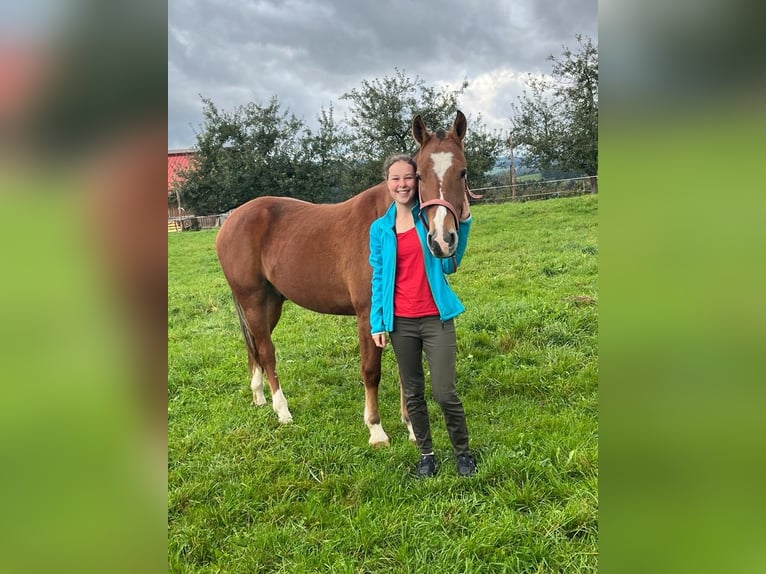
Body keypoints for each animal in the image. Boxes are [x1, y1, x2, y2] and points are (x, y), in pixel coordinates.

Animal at [216, 110, 476, 448]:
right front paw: (376, 430)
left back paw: (259, 396)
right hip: (254, 300)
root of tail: (232, 219)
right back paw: (282, 411)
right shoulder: (368, 317)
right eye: (419, 176)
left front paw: (410, 427)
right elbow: (371, 371)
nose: (442, 240)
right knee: (267, 351)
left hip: (270, 303)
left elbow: (406, 372)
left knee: (256, 347)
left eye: (462, 172)